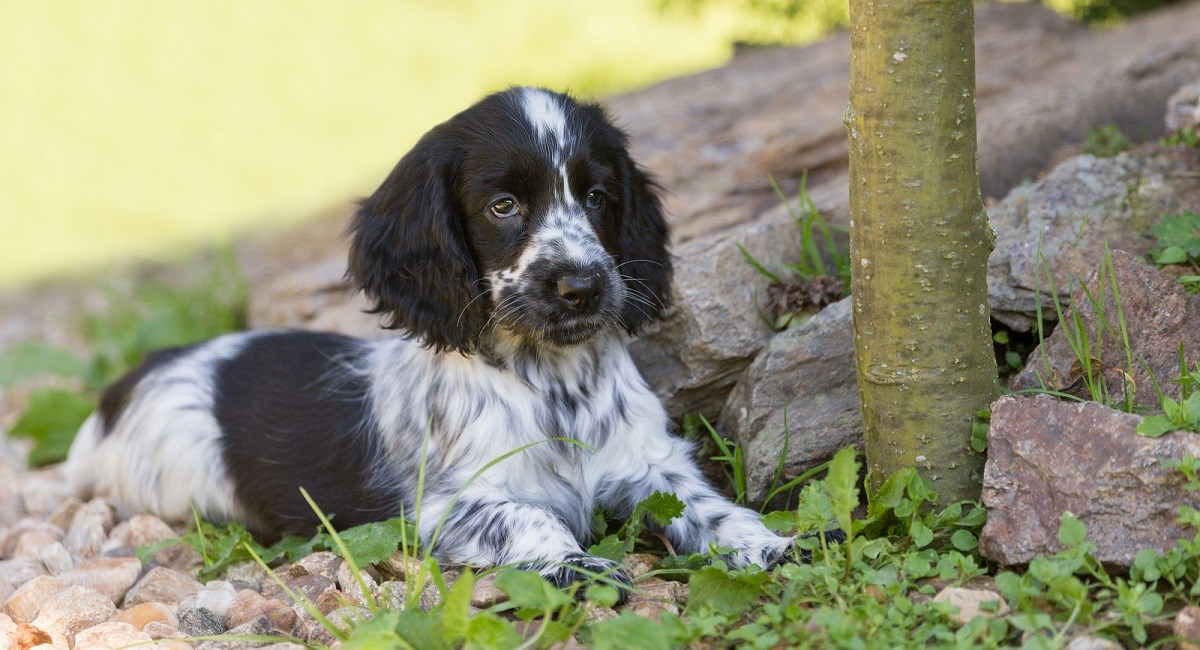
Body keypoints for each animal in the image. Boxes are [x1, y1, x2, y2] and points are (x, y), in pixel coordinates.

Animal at [68, 86, 816, 597]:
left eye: (598, 196)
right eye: (502, 206)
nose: (581, 285)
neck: (552, 380)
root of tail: (131, 380)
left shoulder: (651, 465)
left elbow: (712, 509)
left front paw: (773, 545)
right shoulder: (448, 506)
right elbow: (531, 519)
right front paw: (577, 564)